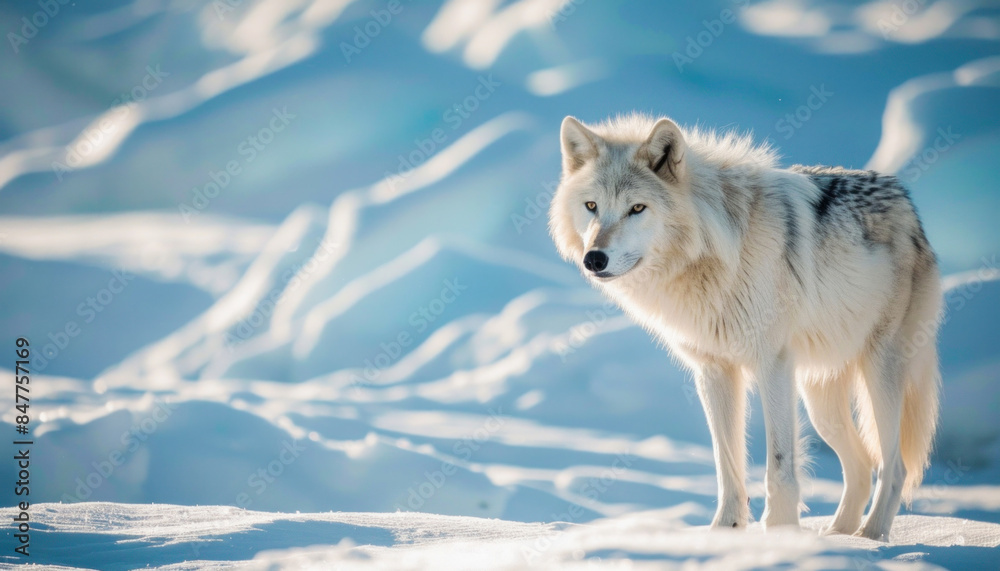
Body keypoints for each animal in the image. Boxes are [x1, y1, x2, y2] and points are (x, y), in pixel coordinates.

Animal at [548, 114, 941, 541]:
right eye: (591, 206)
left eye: (637, 208)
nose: (594, 259)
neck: (716, 249)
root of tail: (906, 202)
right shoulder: (713, 370)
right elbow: (727, 464)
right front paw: (726, 532)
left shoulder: (772, 366)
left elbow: (780, 465)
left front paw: (781, 535)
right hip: (820, 402)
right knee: (862, 465)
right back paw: (837, 538)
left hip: (879, 375)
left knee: (895, 466)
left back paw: (870, 539)